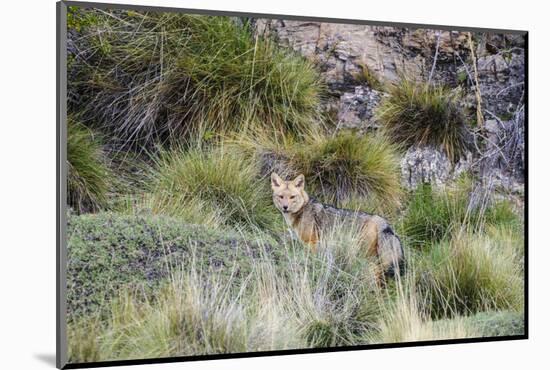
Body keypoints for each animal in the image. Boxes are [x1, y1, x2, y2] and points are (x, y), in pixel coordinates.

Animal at [272, 172, 406, 278]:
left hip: (366, 256)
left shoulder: (312, 243)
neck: (302, 210)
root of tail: (381, 220)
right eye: (281, 197)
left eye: (292, 197)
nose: (285, 207)